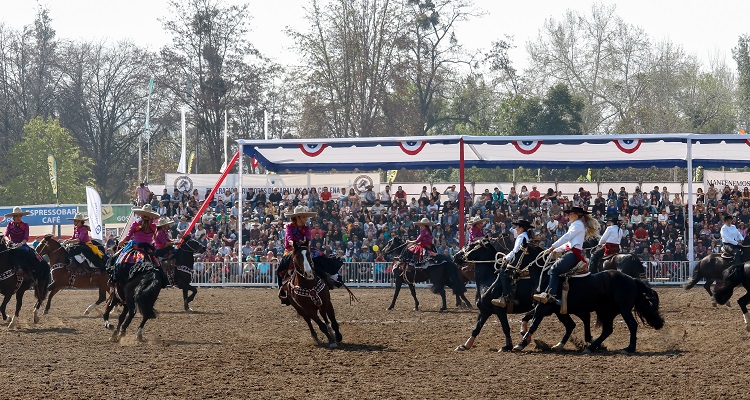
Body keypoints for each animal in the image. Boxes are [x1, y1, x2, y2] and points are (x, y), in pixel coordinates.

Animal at [516, 268, 664, 354]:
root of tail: (632, 279)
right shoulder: (555, 311)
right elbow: (527, 317)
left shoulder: (544, 308)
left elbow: (535, 323)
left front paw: (521, 343)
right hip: (607, 312)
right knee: (607, 330)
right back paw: (592, 347)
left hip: (623, 309)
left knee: (632, 325)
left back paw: (629, 348)